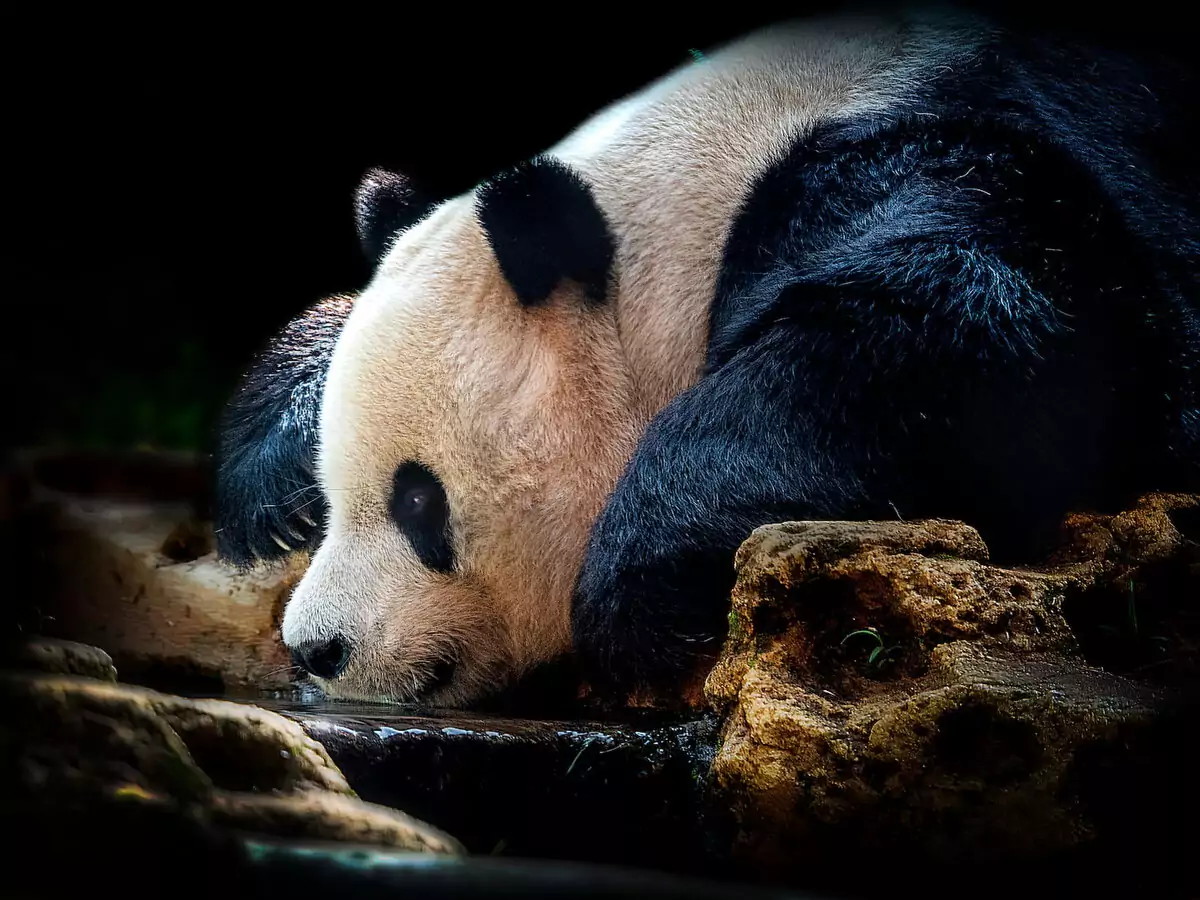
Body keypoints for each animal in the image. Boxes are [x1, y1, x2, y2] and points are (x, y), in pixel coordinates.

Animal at [215, 8, 1200, 706]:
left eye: (420, 502)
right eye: (332, 490)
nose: (318, 648)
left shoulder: (952, 162)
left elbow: (985, 329)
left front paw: (641, 601)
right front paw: (269, 498)